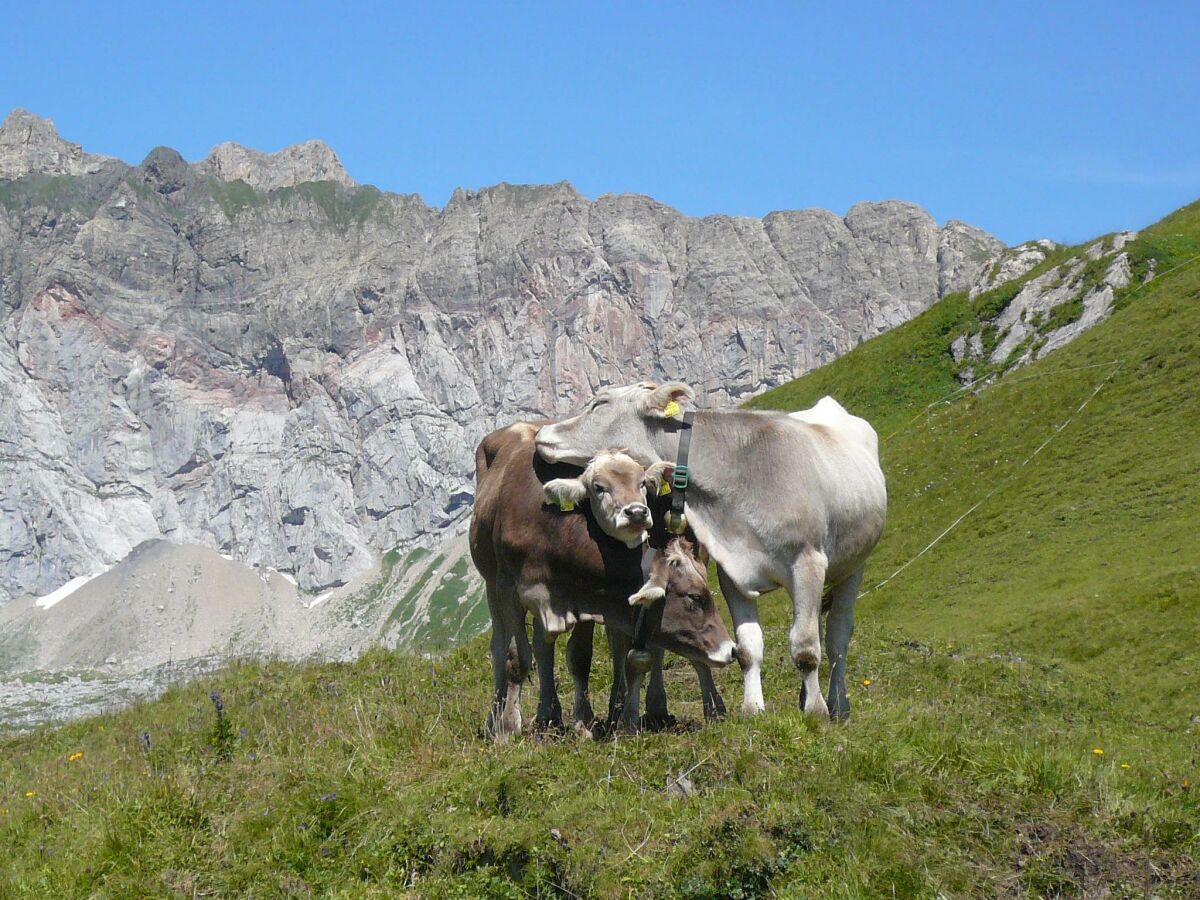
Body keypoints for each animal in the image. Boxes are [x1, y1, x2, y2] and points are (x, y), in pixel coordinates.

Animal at [465, 427, 729, 744]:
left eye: (642, 483)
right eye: (599, 487)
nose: (637, 512)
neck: (548, 530)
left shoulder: (582, 596)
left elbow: (582, 657)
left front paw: (585, 722)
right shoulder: (511, 590)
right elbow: (515, 658)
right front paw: (506, 728)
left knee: (551, 645)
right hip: (492, 585)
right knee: (502, 646)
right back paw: (502, 717)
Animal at [540, 384, 888, 724]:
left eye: (600, 403)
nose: (543, 431)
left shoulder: (808, 562)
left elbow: (805, 648)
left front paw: (816, 713)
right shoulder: (732, 570)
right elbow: (748, 646)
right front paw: (753, 710)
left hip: (852, 567)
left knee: (836, 636)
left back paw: (837, 704)